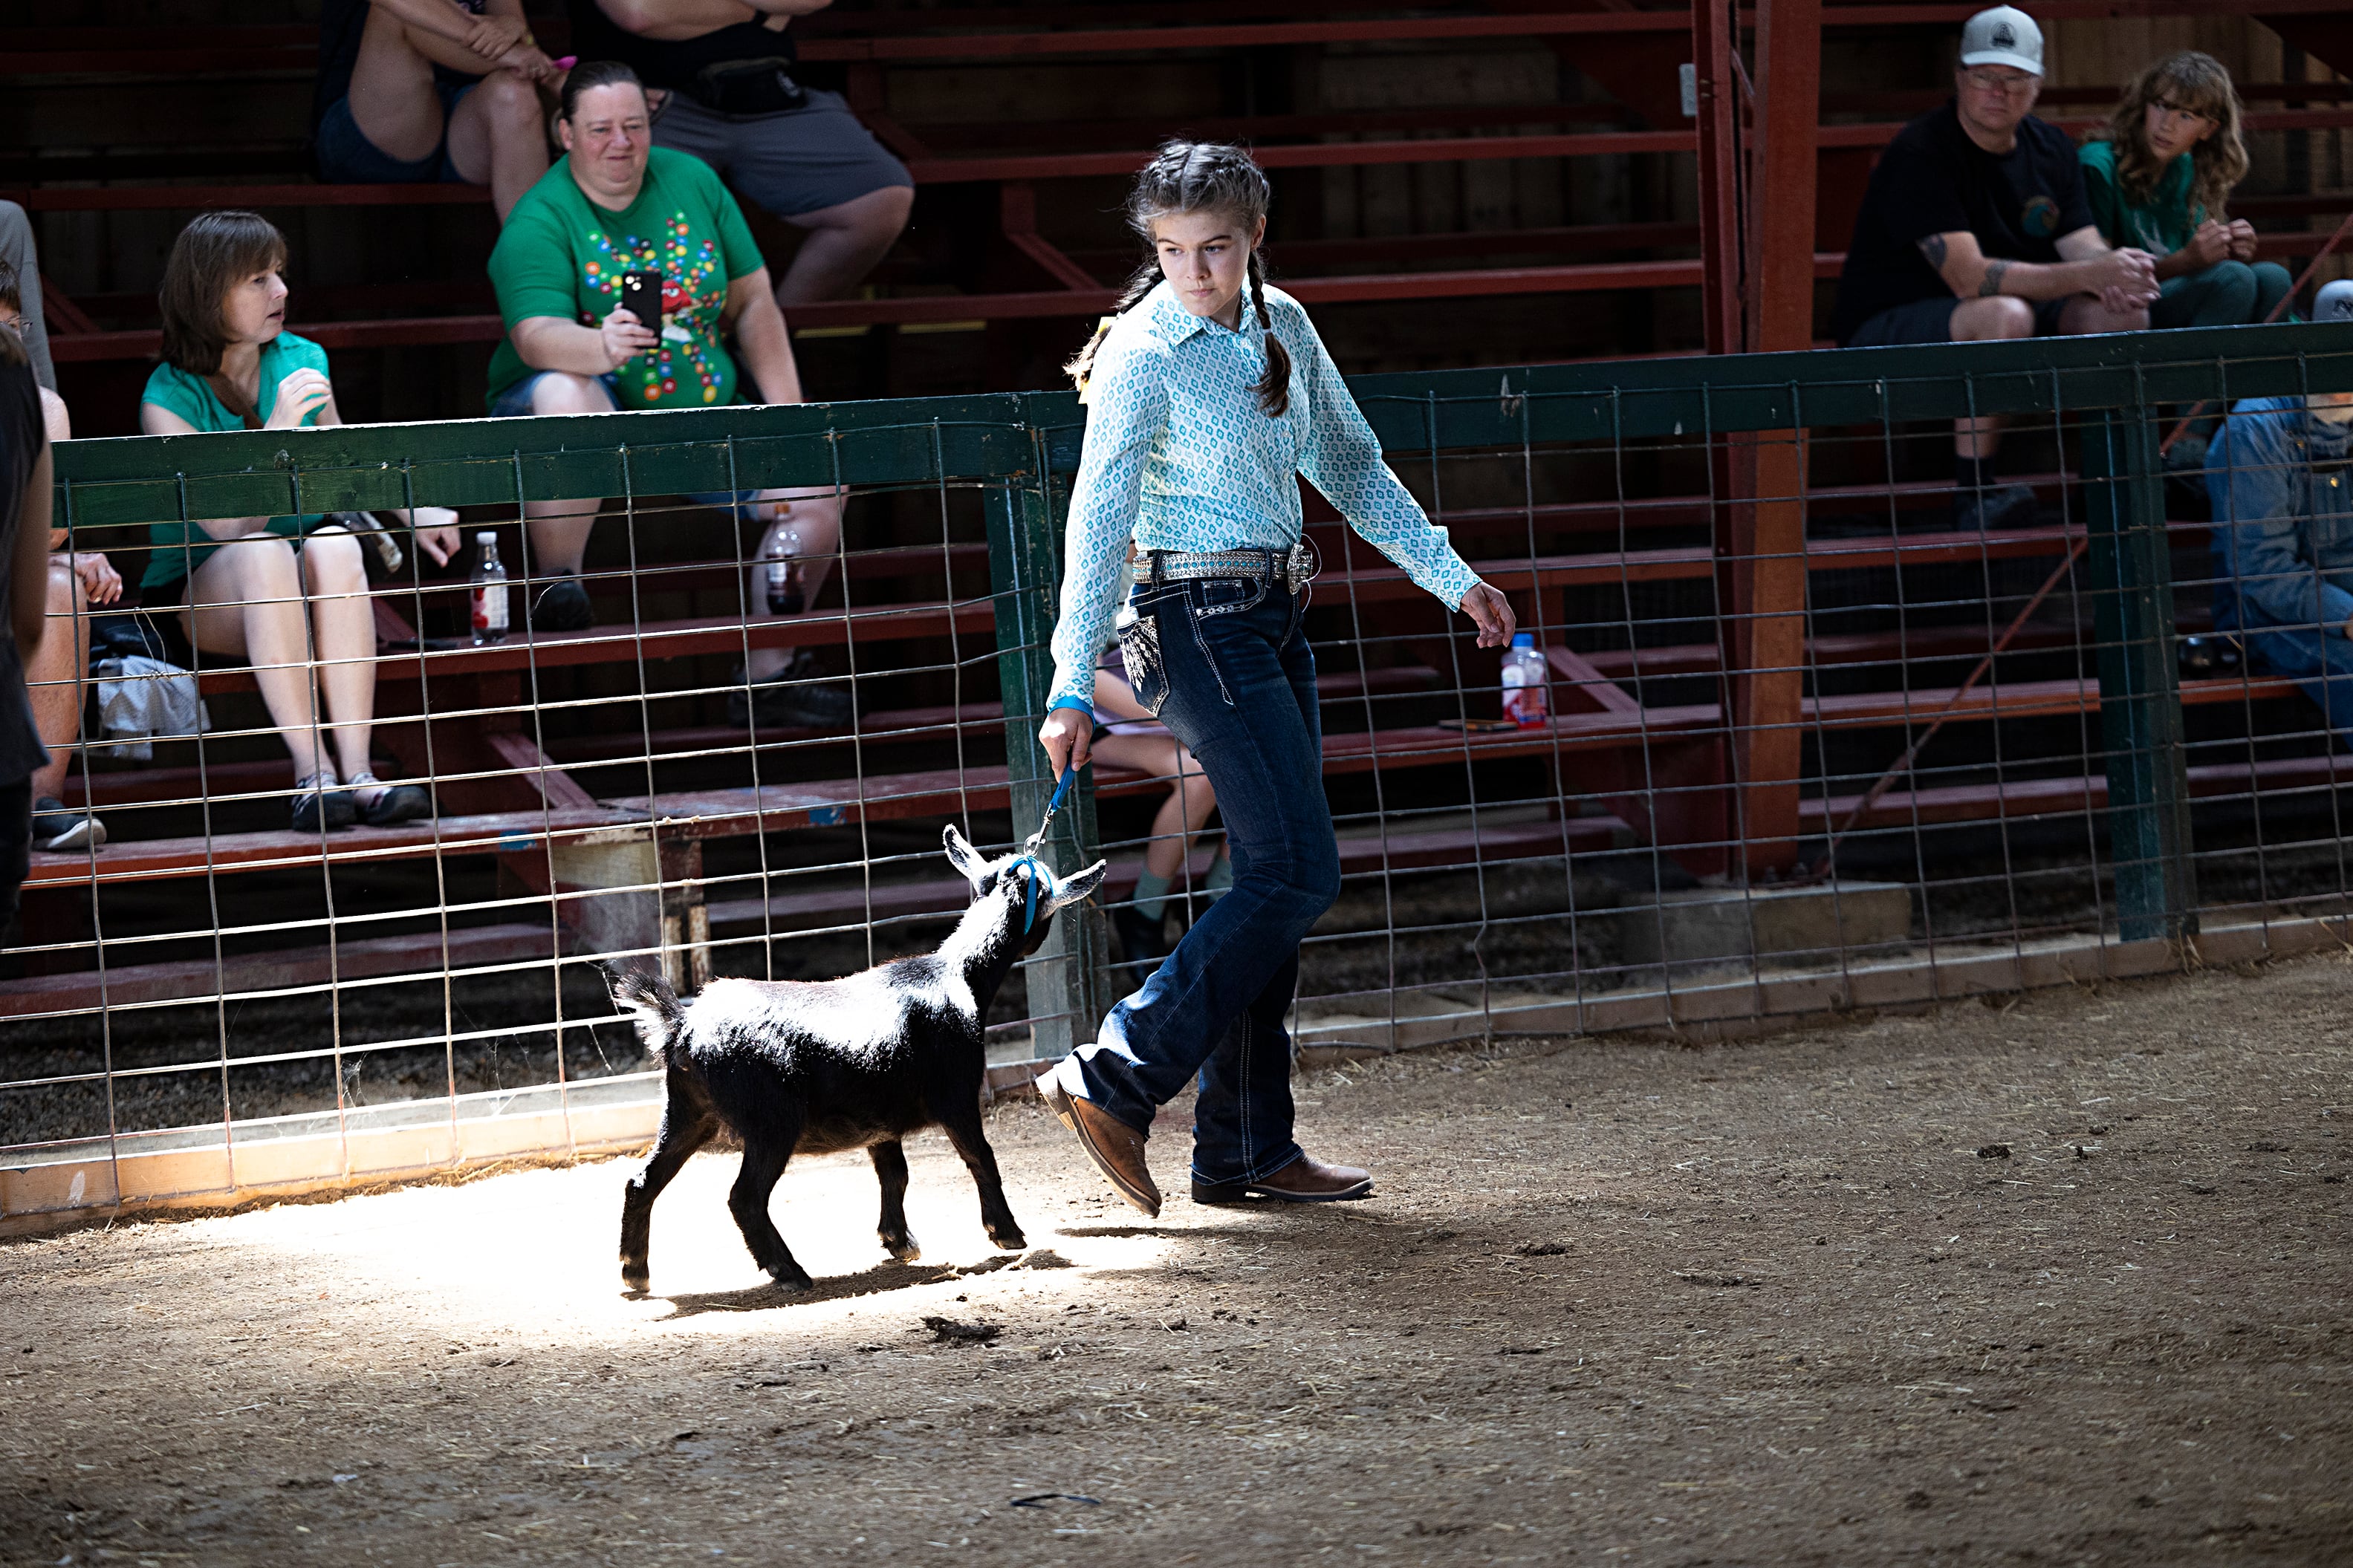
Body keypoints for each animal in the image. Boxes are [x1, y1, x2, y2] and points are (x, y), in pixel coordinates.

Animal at [607, 827, 1101, 1298]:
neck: (957, 975)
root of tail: (682, 1024)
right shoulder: (955, 1093)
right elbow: (980, 1156)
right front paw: (1007, 1234)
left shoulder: (880, 1118)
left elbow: (895, 1173)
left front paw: (899, 1241)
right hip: (772, 1118)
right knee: (743, 1197)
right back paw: (789, 1272)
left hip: (686, 1113)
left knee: (642, 1181)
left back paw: (635, 1271)